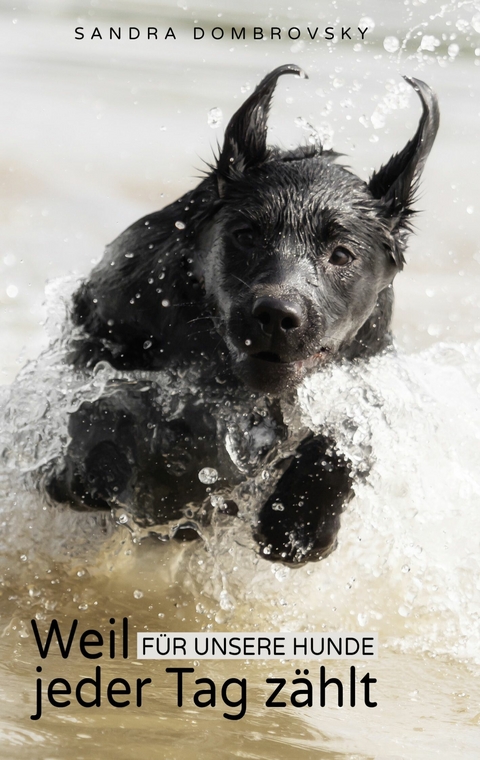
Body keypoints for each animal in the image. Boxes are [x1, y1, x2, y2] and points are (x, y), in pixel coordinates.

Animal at [47, 65, 440, 564]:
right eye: (247, 234)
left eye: (342, 254)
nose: (277, 315)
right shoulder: (105, 325)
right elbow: (105, 399)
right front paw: (104, 463)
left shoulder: (367, 366)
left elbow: (347, 428)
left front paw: (300, 520)